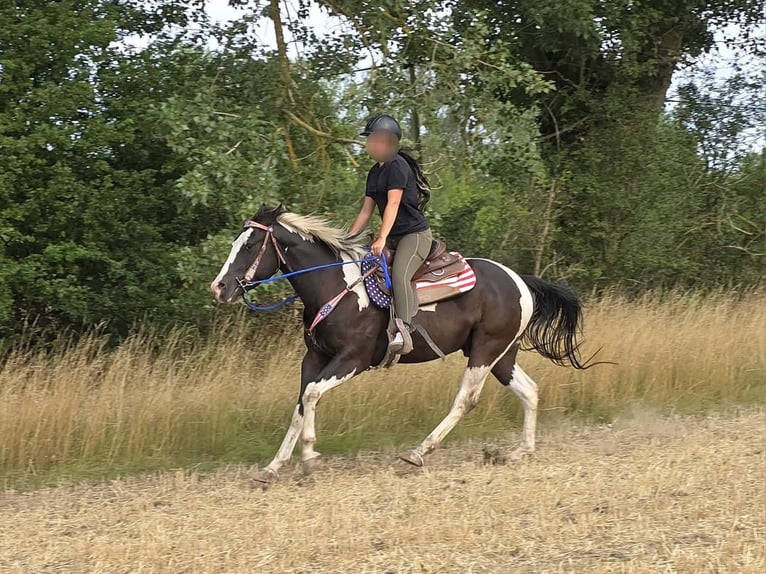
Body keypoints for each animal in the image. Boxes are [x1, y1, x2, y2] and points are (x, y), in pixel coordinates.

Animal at [211, 204, 592, 483]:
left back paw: (419, 453)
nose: (219, 287)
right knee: (529, 391)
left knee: (465, 400)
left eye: (248, 246)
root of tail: (519, 281)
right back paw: (516, 453)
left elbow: (312, 395)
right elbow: (300, 404)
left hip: (486, 351)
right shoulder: (315, 358)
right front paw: (274, 466)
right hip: (501, 355)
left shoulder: (353, 359)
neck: (336, 285)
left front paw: (309, 459)